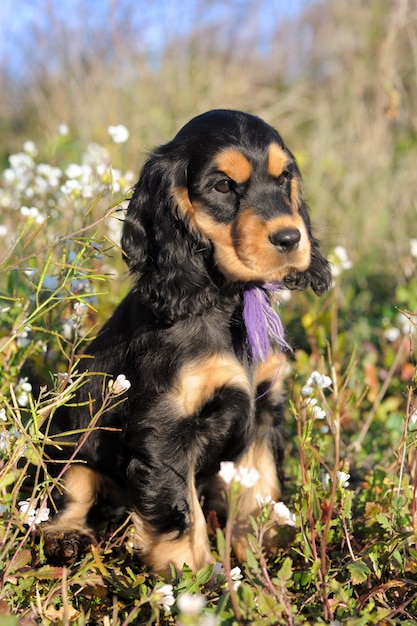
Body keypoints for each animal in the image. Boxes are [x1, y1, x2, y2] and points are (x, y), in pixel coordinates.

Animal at [41, 111, 328, 572]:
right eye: (223, 186)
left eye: (284, 178)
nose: (290, 238)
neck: (225, 300)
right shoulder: (166, 428)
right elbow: (179, 511)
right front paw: (198, 577)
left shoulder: (264, 411)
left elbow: (260, 487)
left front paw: (262, 554)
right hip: (71, 446)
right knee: (67, 496)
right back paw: (66, 537)